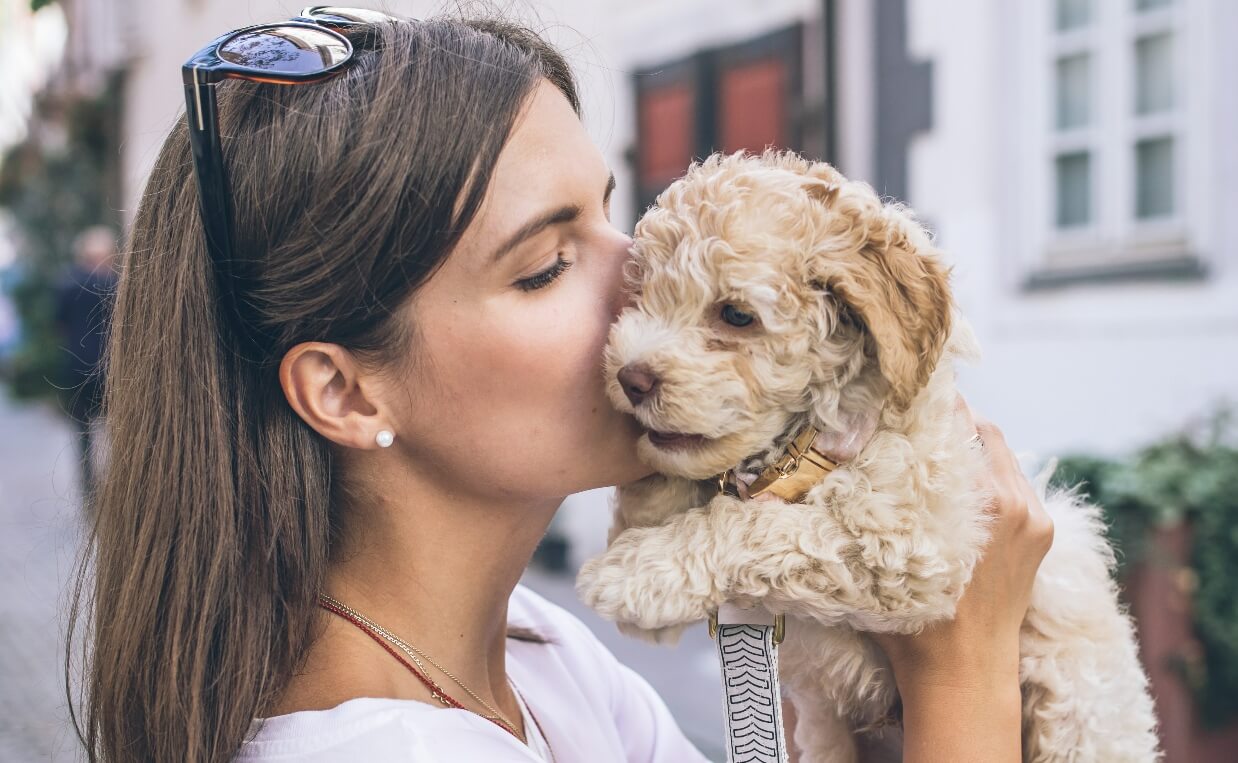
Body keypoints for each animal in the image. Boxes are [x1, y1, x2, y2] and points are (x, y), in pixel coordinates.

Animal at [576, 150, 1158, 763]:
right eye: (639, 297)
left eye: (735, 315)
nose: (630, 378)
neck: (803, 447)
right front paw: (649, 501)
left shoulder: (909, 545)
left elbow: (761, 526)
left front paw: (630, 570)